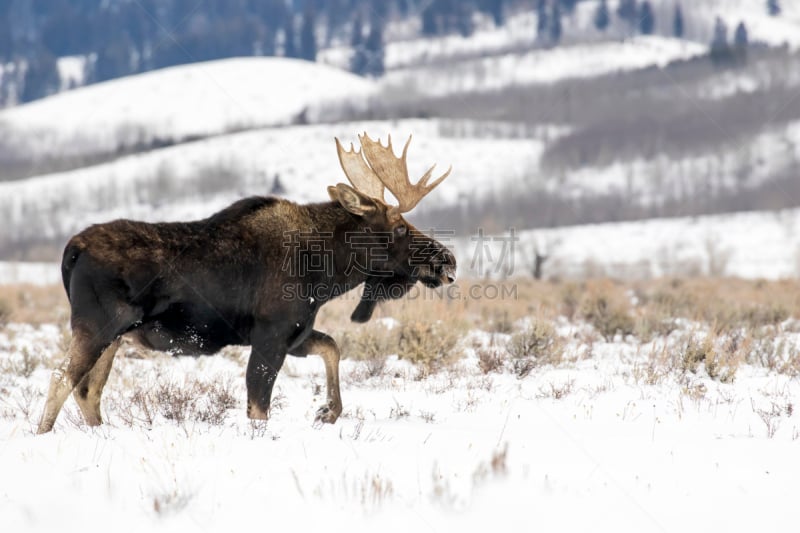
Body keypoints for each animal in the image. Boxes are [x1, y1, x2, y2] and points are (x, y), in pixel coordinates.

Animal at [37, 133, 460, 432]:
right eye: (400, 226)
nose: (447, 259)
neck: (328, 272)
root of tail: (72, 249)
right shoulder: (272, 334)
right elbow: (259, 408)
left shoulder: (296, 333)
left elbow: (333, 347)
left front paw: (326, 411)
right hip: (98, 325)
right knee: (60, 380)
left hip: (116, 336)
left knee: (88, 391)